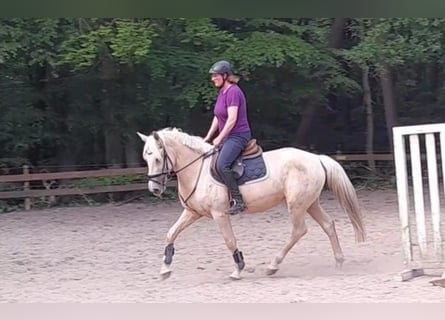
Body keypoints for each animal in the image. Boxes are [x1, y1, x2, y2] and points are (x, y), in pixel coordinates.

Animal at [137, 127, 366, 280]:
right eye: (146, 159)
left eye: (157, 159)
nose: (154, 189)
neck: (197, 170)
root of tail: (316, 158)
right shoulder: (192, 212)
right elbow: (171, 233)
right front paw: (165, 269)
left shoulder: (220, 214)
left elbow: (230, 241)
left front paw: (238, 269)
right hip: (310, 203)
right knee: (328, 225)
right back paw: (338, 261)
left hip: (297, 205)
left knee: (298, 231)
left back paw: (273, 265)